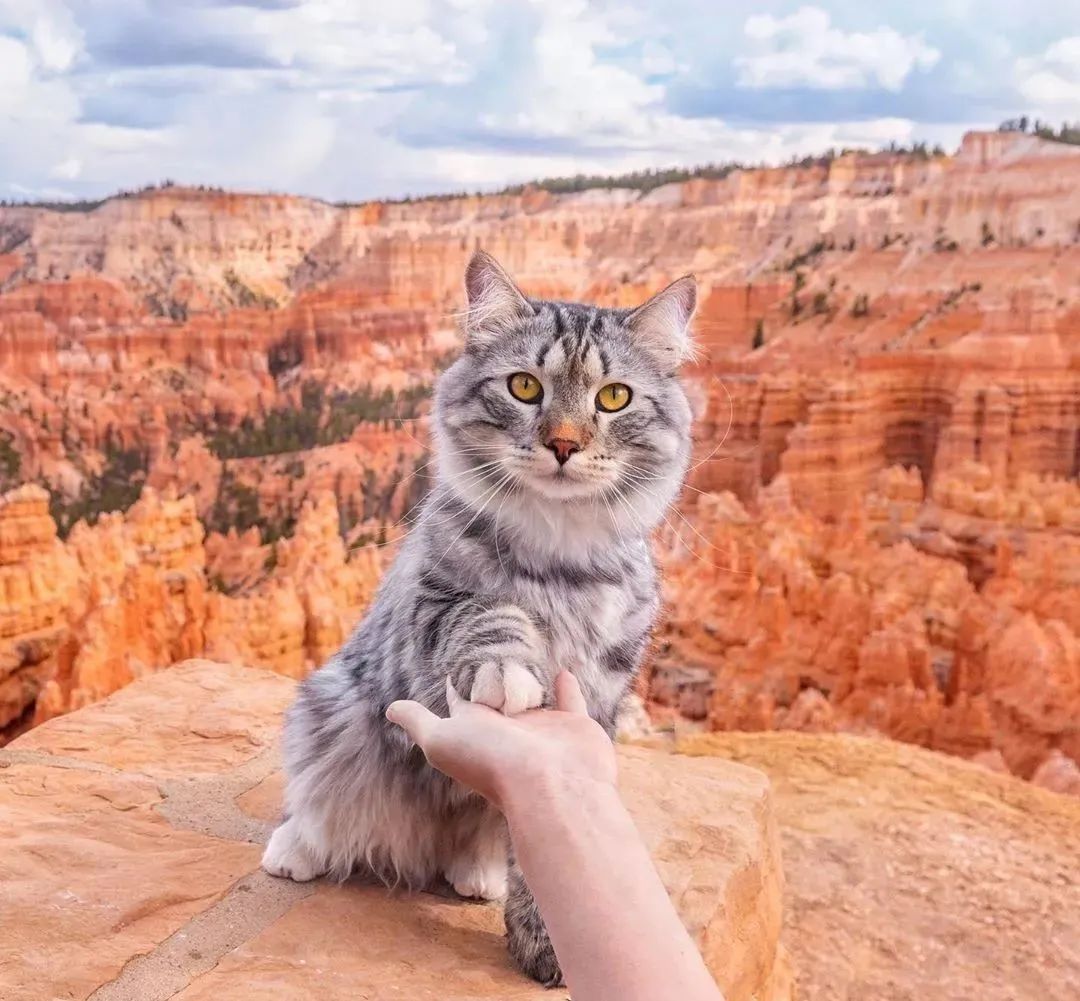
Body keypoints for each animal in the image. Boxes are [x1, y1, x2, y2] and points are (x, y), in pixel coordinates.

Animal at [265, 250, 695, 984]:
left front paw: (544, 940)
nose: (563, 444)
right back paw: (295, 848)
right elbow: (491, 613)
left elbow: (539, 859)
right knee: (322, 805)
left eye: (614, 398)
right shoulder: (432, 599)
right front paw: (507, 668)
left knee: (476, 841)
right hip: (332, 706)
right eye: (524, 387)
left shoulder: (606, 691)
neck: (559, 562)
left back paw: (475, 871)